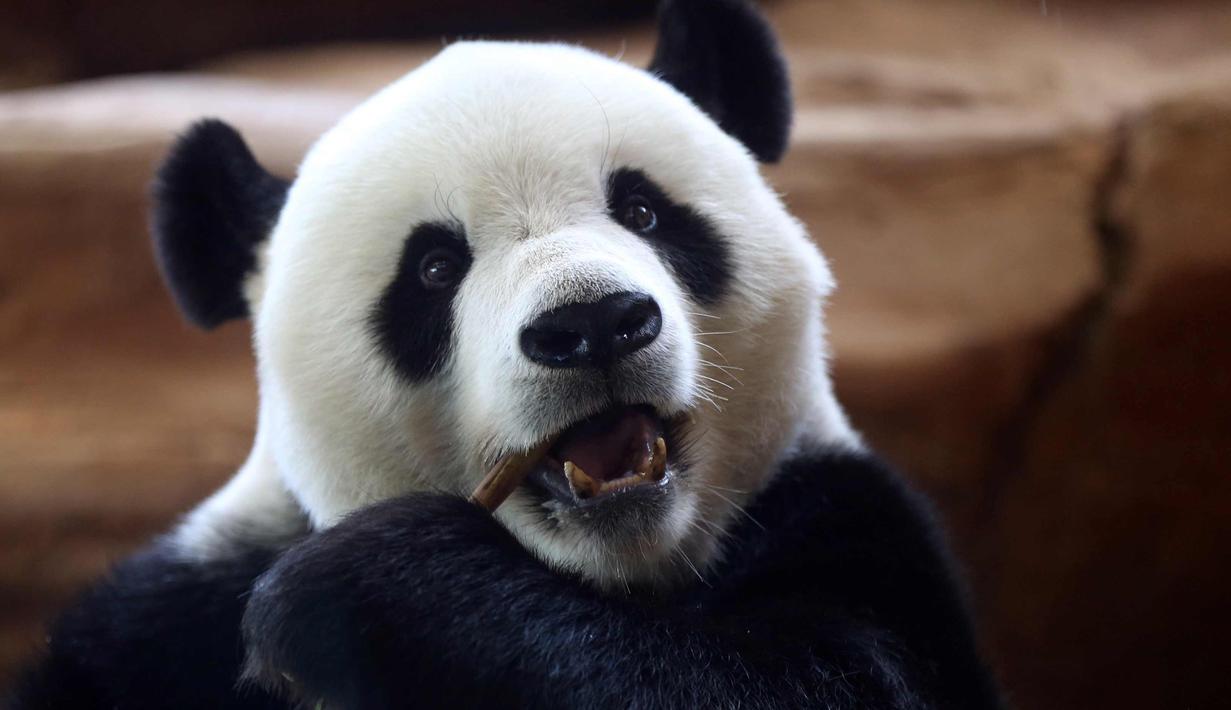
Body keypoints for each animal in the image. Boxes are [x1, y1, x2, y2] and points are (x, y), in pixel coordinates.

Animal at [12, 1, 1001, 708]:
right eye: (434, 268)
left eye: (643, 210)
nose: (594, 323)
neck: (604, 578)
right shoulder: (167, 624)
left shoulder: (846, 528)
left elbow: (804, 678)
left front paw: (371, 587)